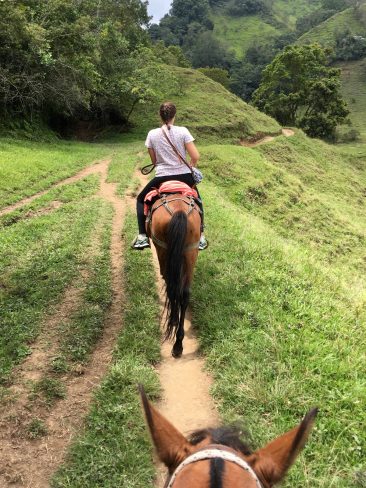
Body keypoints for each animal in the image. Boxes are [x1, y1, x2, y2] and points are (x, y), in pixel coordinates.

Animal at [146, 187, 202, 358]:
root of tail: (179, 211)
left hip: (162, 249)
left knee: (172, 288)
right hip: (190, 251)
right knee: (184, 294)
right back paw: (178, 345)